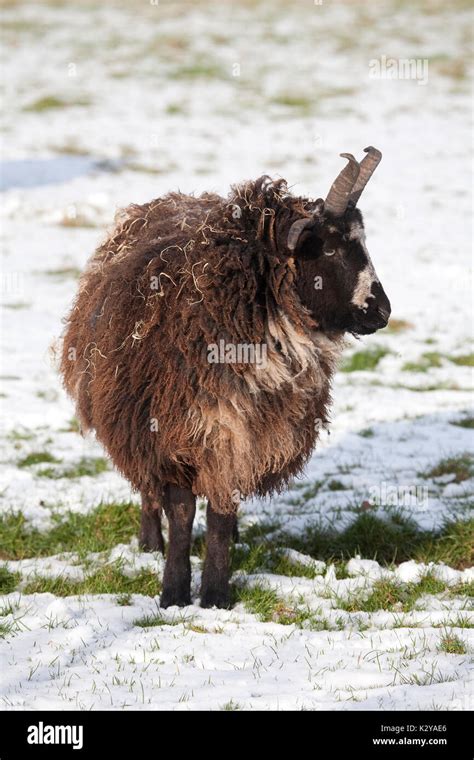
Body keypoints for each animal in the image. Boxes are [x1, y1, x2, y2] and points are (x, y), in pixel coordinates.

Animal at [61, 147, 390, 612]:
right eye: (327, 248)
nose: (382, 312)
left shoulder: (242, 439)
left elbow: (220, 514)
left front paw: (216, 593)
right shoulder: (172, 433)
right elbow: (181, 513)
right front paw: (174, 592)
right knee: (147, 490)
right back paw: (149, 543)